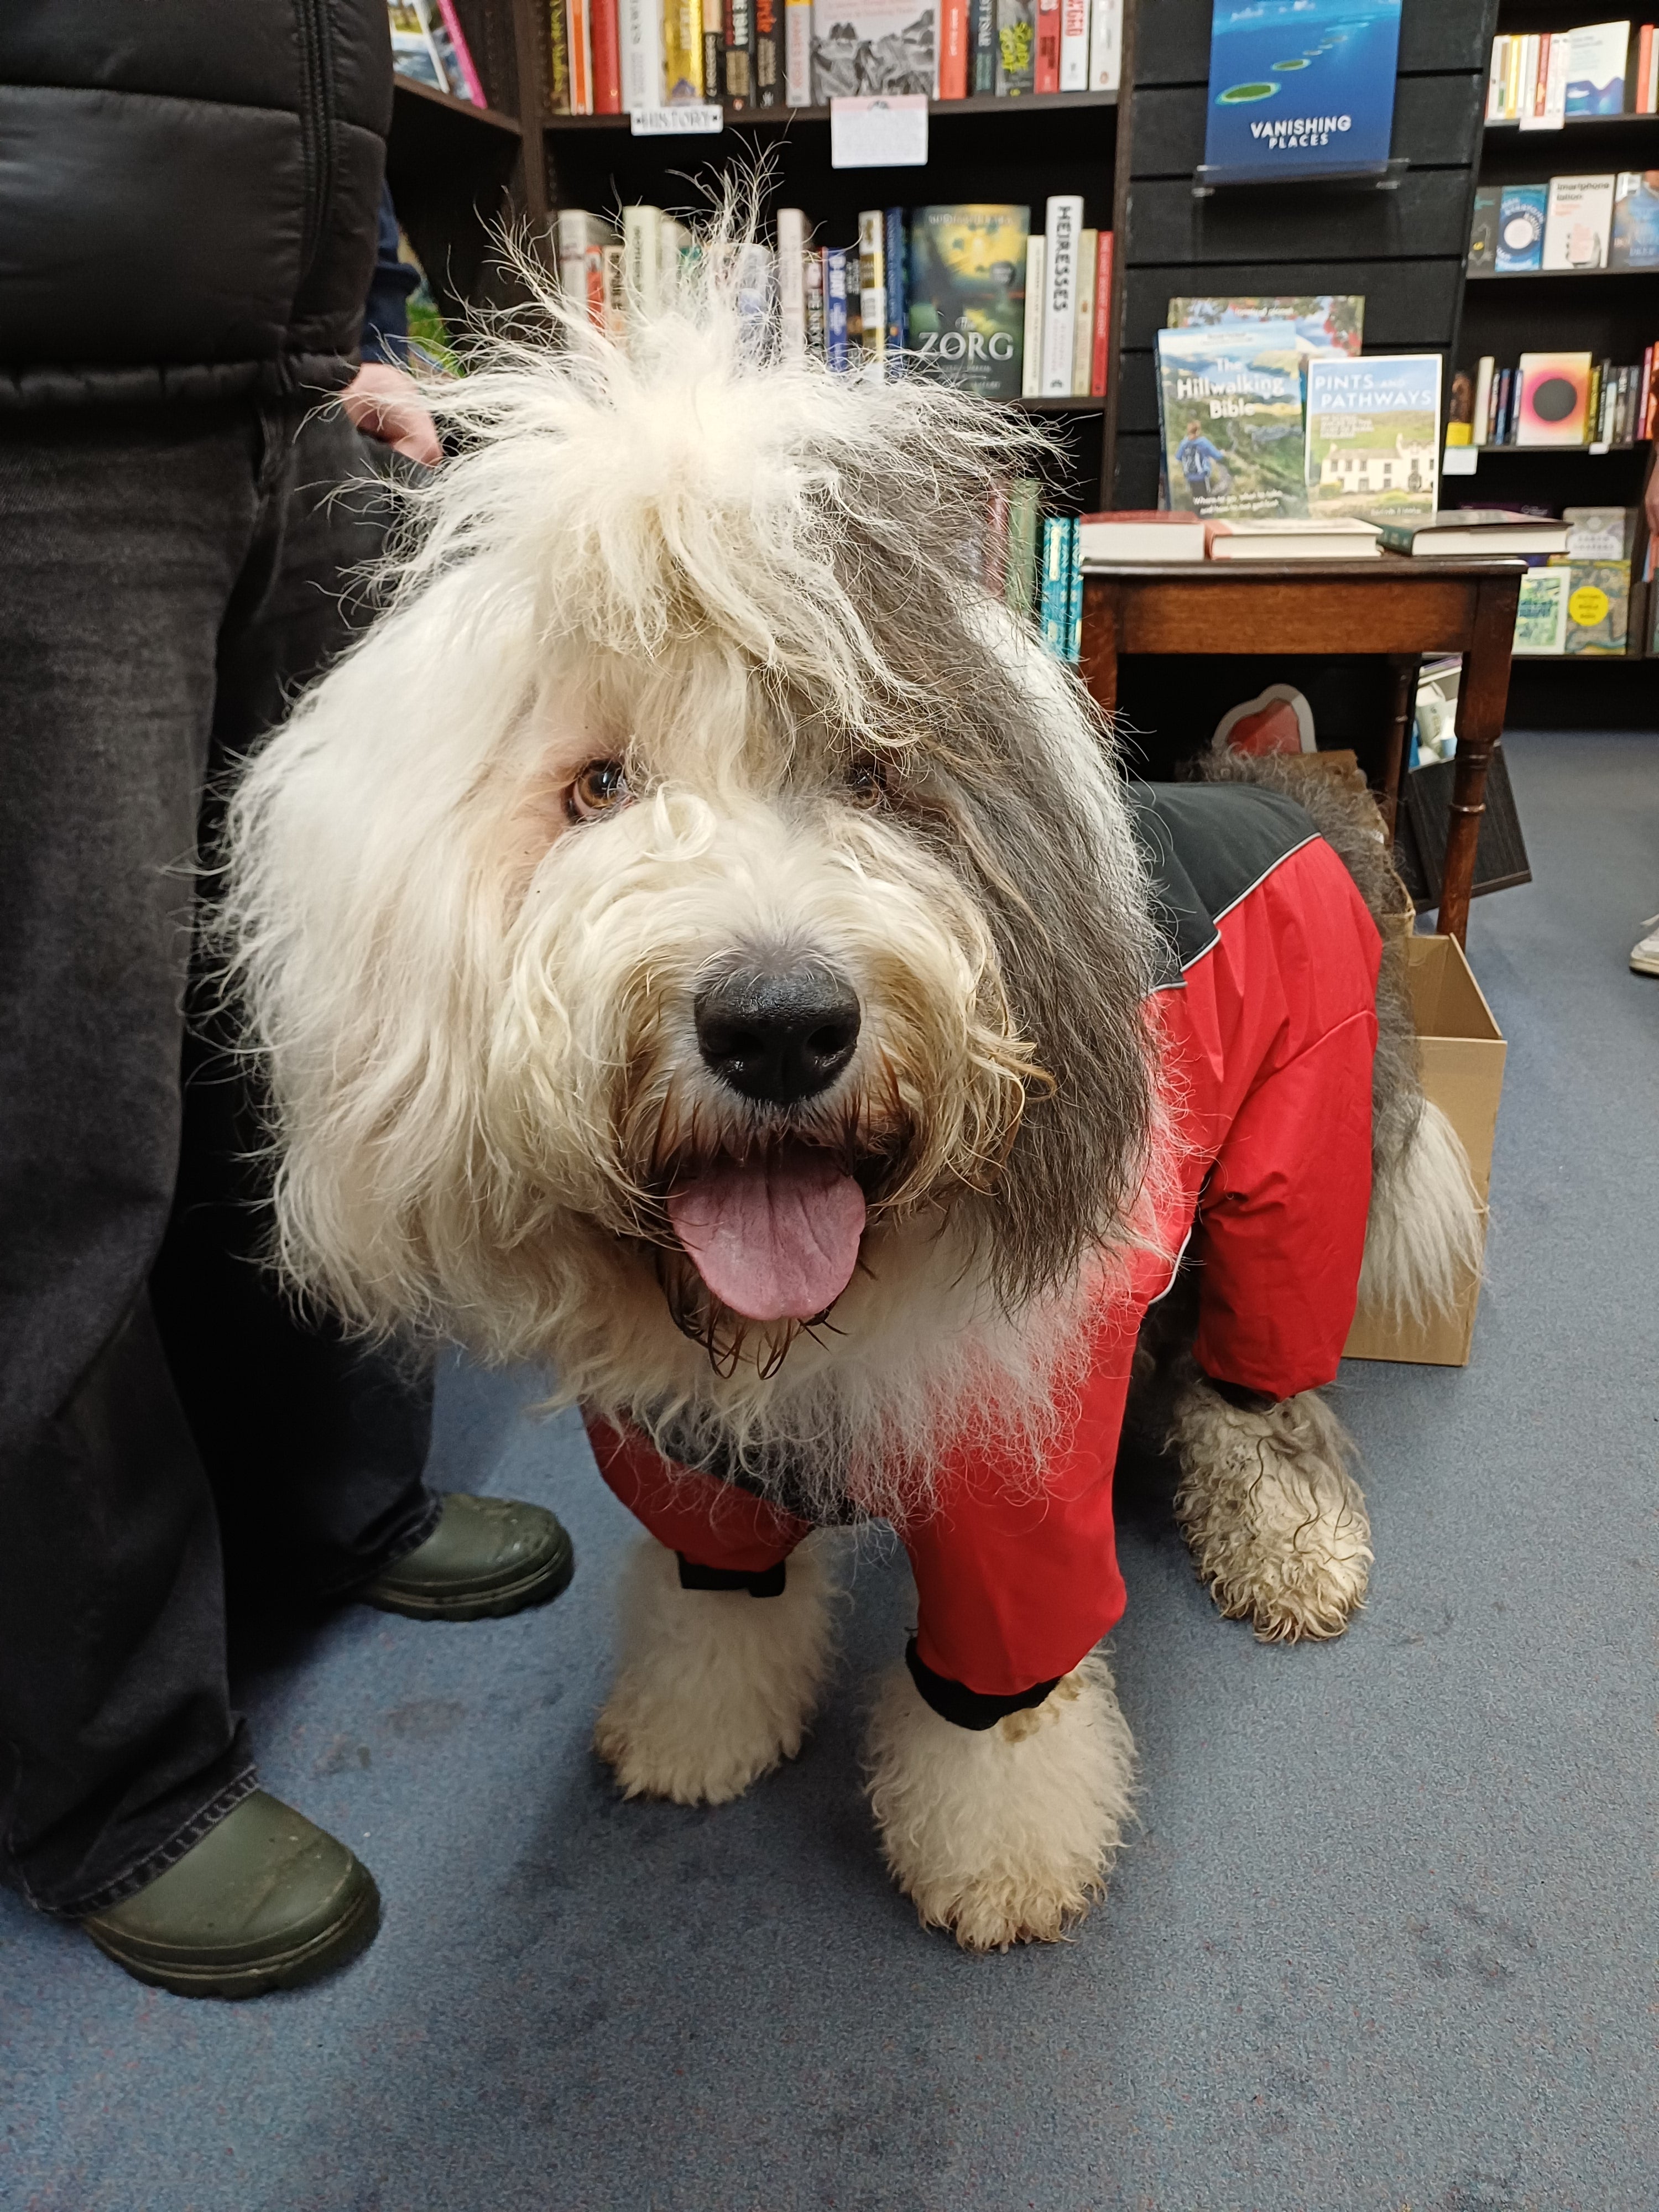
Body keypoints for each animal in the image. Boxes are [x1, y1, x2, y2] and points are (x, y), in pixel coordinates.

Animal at [224, 235, 1484, 1951]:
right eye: (598, 787)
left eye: (876, 773)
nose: (777, 1028)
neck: (813, 1323)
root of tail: (1287, 794)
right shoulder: (690, 1458)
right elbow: (711, 1610)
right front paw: (696, 1737)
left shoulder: (1013, 1457)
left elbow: (1004, 1694)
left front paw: (999, 1862)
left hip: (1293, 1164)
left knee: (1264, 1388)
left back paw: (1288, 1545)